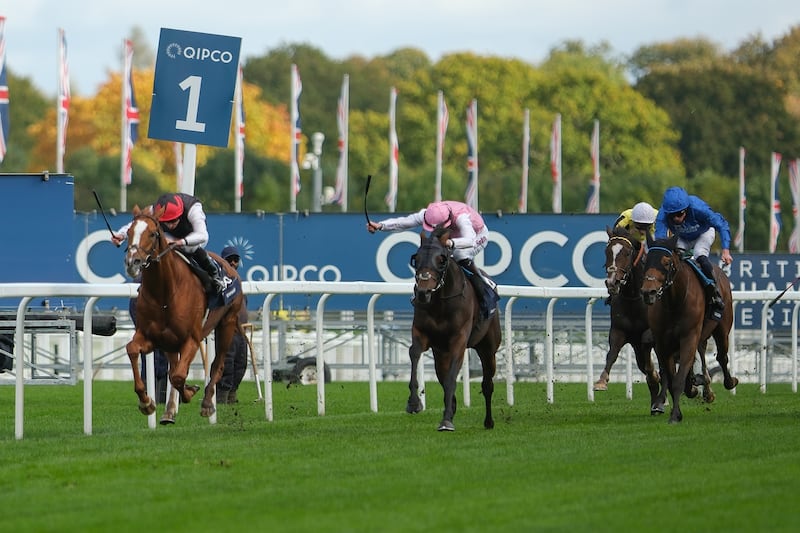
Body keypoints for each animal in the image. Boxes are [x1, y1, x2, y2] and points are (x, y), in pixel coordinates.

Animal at [122, 206, 244, 422]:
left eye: (152, 234)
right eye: (129, 232)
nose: (132, 262)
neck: (164, 292)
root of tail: (231, 268)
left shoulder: (192, 339)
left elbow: (179, 376)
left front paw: (190, 393)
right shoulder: (151, 337)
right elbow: (133, 350)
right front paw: (147, 403)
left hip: (227, 323)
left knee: (218, 365)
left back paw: (207, 404)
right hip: (170, 342)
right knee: (173, 367)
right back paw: (169, 410)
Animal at [406, 227, 500, 430]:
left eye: (441, 260)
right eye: (416, 258)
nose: (423, 293)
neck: (441, 304)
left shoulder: (459, 339)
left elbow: (451, 379)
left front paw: (446, 420)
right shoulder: (421, 333)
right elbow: (414, 353)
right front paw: (414, 403)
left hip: (488, 348)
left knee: (487, 384)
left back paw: (489, 421)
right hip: (441, 352)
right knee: (442, 375)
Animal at [596, 223, 664, 412]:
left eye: (627, 253)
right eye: (607, 251)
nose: (612, 282)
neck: (634, 298)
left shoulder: (650, 333)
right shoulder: (619, 331)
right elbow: (611, 353)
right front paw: (601, 381)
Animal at [640, 235, 740, 422]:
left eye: (666, 262)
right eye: (645, 261)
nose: (648, 292)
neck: (675, 301)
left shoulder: (689, 337)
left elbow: (678, 379)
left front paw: (674, 416)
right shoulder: (663, 342)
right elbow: (671, 376)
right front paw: (675, 407)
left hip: (722, 329)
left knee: (722, 357)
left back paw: (728, 382)